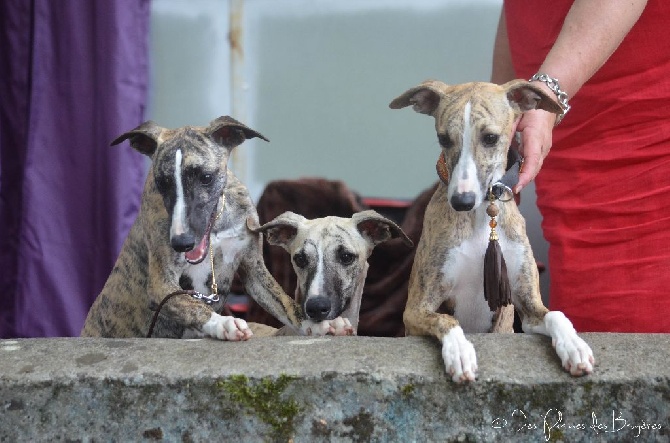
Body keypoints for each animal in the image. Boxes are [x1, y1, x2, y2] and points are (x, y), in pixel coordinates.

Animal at [81, 116, 354, 338]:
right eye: (162, 183)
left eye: (206, 177)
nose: (181, 243)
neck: (216, 230)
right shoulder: (161, 284)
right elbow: (192, 305)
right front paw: (222, 323)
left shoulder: (254, 269)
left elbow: (284, 302)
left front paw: (319, 324)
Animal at [392, 81, 596, 384]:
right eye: (444, 139)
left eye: (490, 138)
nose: (461, 201)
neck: (480, 219)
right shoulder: (416, 308)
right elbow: (447, 319)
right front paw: (460, 352)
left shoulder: (525, 306)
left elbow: (556, 314)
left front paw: (574, 346)